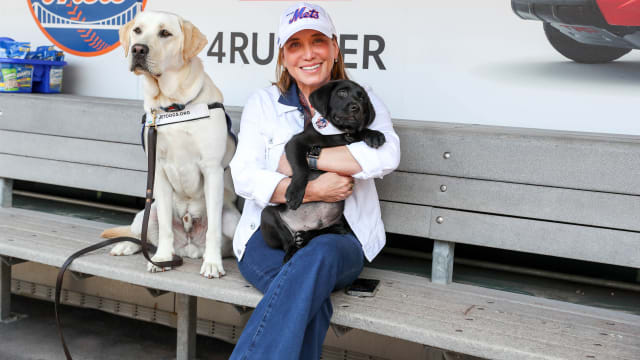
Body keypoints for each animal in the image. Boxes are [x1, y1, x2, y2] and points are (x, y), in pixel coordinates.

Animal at [104, 10, 239, 278]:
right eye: (137, 30)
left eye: (165, 33)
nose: (137, 49)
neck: (173, 105)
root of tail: (189, 248)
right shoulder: (158, 172)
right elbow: (165, 226)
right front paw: (162, 258)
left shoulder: (212, 170)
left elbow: (213, 230)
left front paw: (213, 263)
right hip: (148, 211)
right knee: (141, 235)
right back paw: (127, 246)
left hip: (233, 218)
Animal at [260, 80, 384, 262]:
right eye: (341, 93)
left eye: (362, 98)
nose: (357, 107)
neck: (341, 133)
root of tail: (300, 226)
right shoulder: (295, 143)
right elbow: (302, 168)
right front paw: (295, 193)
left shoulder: (352, 137)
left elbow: (360, 131)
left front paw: (373, 133)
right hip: (268, 215)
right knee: (286, 241)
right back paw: (292, 250)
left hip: (339, 223)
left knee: (323, 231)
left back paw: (304, 237)